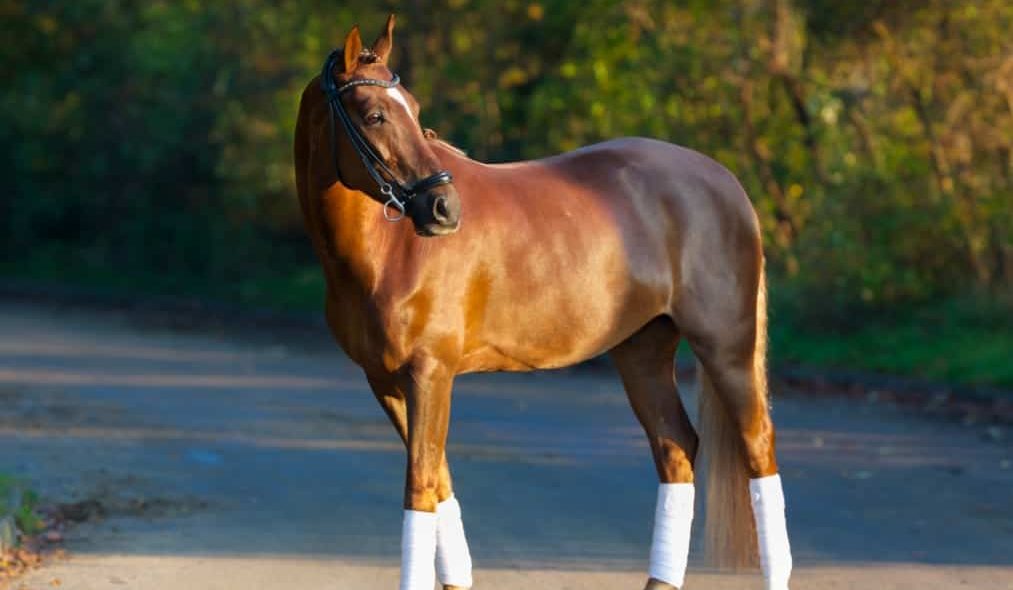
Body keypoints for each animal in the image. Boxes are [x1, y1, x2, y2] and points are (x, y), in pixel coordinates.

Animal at [293, 13, 790, 590]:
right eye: (374, 115)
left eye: (414, 111)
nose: (444, 207)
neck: (390, 249)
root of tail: (726, 182)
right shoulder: (387, 382)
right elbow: (439, 484)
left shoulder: (430, 374)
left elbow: (420, 488)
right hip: (642, 352)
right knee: (676, 449)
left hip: (727, 350)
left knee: (758, 451)